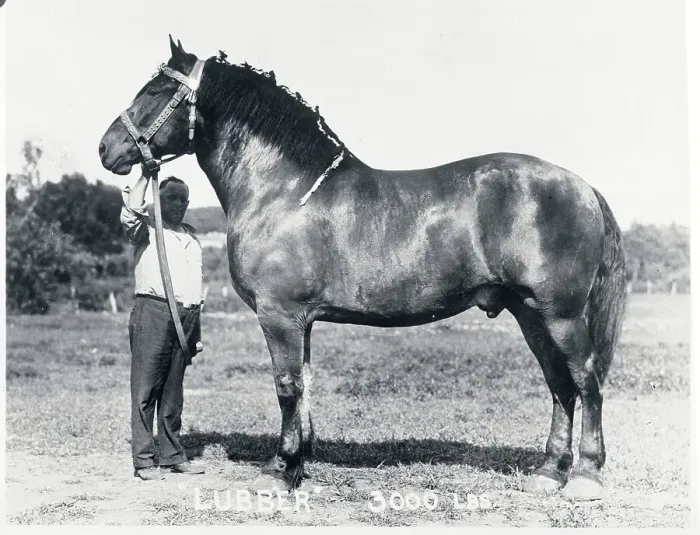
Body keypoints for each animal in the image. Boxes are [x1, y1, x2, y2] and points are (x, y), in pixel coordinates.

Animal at [99, 37, 627, 500]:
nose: (107, 148)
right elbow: (304, 385)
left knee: (586, 380)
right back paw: (548, 472)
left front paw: (280, 470)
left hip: (559, 315)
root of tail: (581, 186)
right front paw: (296, 463)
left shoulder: (279, 316)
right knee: (559, 385)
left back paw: (585, 476)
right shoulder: (301, 321)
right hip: (529, 314)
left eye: (154, 91)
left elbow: (287, 387)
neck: (283, 190)